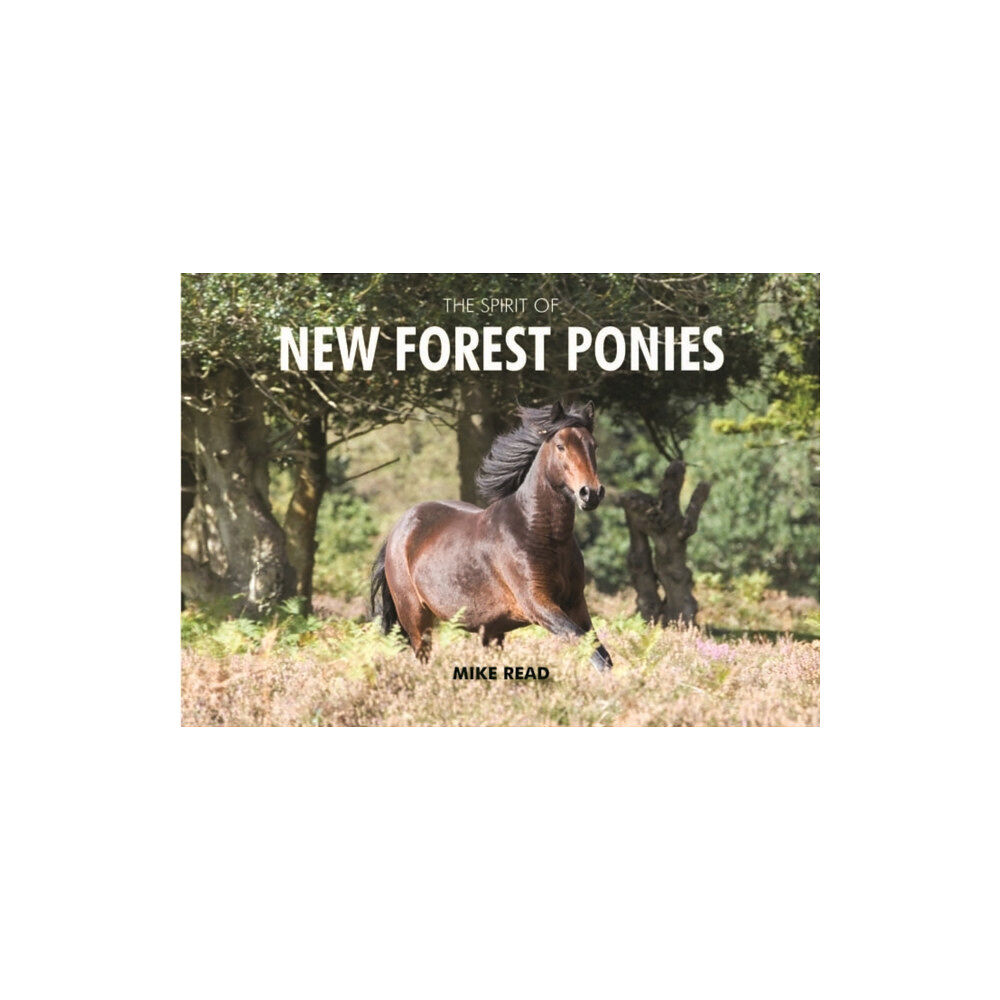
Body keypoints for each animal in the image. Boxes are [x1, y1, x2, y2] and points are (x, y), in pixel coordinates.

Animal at [370, 400, 613, 672]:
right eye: (560, 446)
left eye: (593, 445)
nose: (590, 493)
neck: (542, 534)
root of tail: (398, 530)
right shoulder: (538, 605)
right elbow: (588, 648)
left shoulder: (576, 604)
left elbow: (601, 652)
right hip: (415, 618)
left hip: (491, 630)